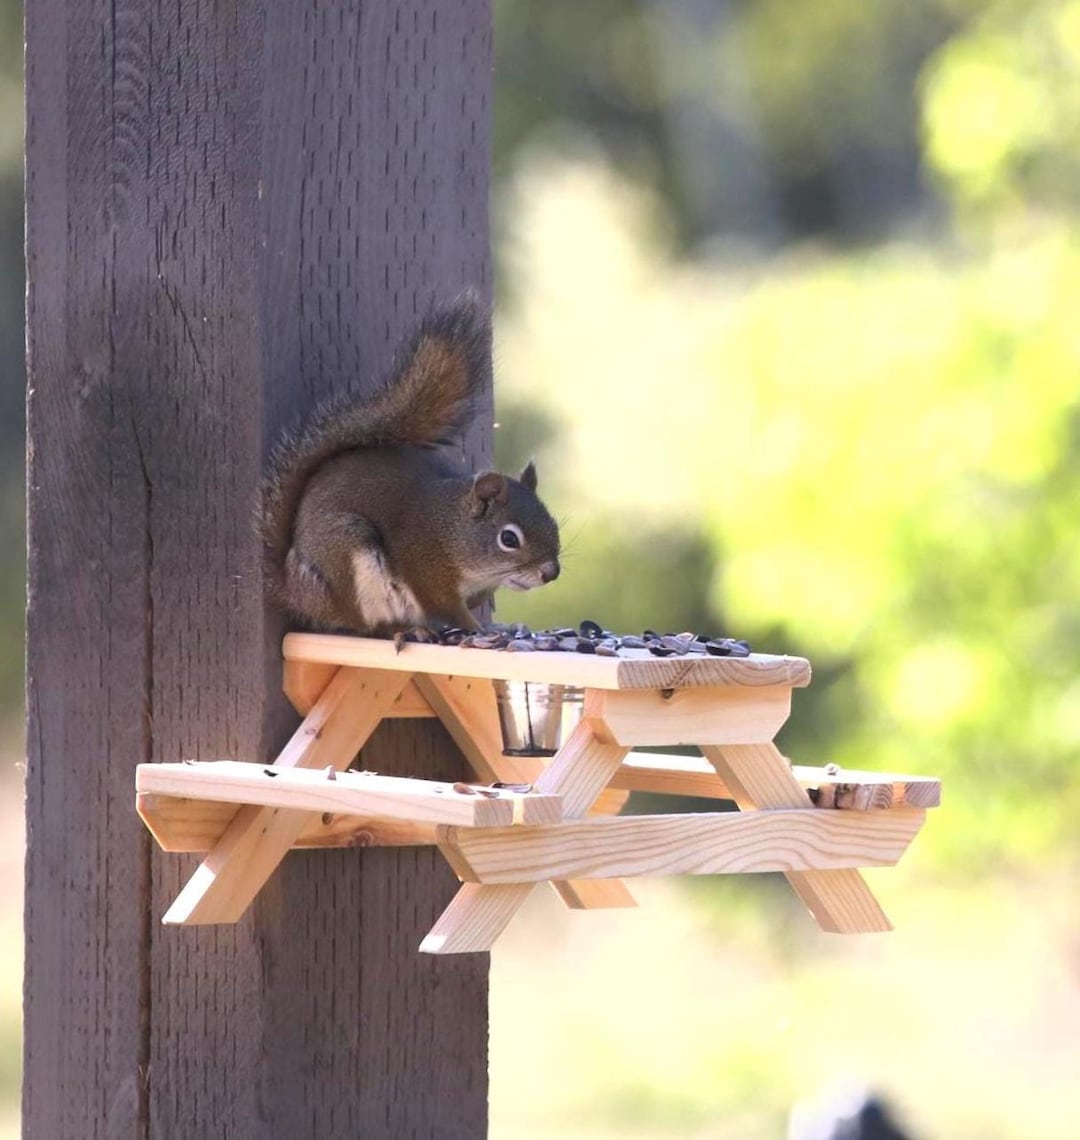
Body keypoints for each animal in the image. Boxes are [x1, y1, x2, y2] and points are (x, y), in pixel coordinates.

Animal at [258, 295, 561, 636]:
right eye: (509, 539)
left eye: (554, 525)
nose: (551, 572)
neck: (453, 531)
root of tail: (297, 592)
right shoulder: (426, 570)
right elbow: (448, 608)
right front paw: (481, 631)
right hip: (348, 558)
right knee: (365, 624)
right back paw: (404, 630)